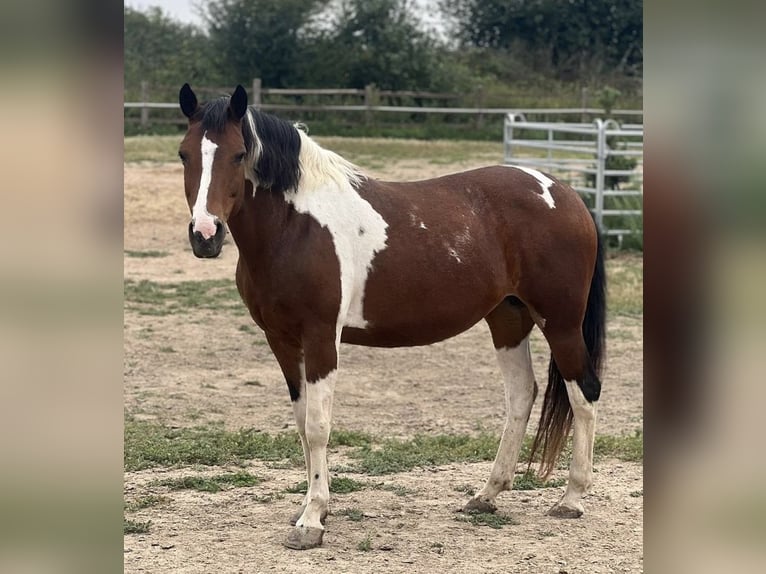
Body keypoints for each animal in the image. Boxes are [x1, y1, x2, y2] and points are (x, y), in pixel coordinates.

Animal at [177, 84, 606, 550]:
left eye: (239, 155)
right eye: (184, 154)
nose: (205, 235)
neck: (296, 226)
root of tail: (565, 194)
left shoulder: (321, 337)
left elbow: (318, 426)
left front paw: (311, 522)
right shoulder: (282, 340)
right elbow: (302, 424)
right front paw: (311, 507)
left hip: (561, 322)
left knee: (584, 393)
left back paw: (572, 498)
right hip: (507, 320)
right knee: (521, 396)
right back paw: (486, 494)